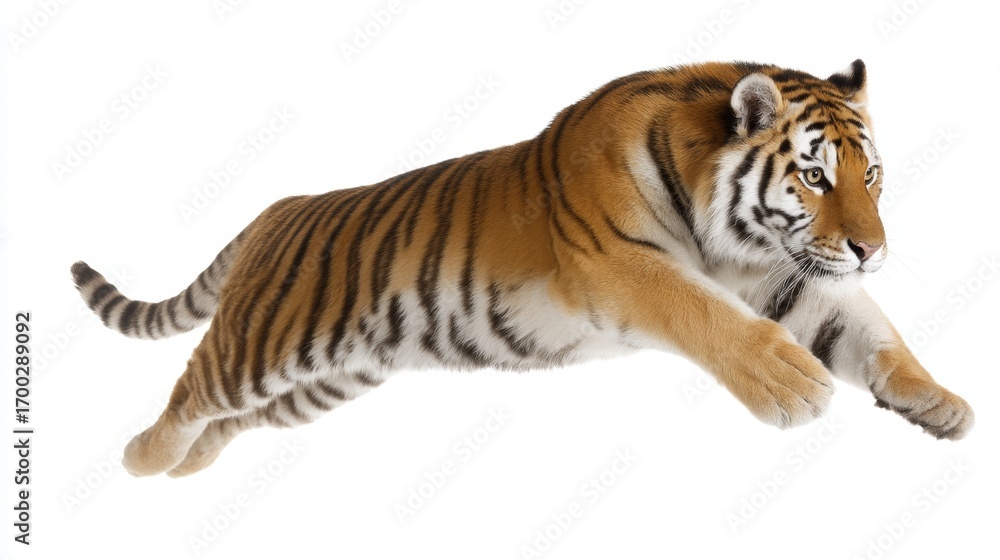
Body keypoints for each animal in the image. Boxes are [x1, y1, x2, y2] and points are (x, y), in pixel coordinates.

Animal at [71, 59, 974, 478]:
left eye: (872, 176)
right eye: (815, 177)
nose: (871, 250)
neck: (735, 241)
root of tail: (274, 209)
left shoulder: (786, 275)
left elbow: (871, 332)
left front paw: (940, 403)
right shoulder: (622, 266)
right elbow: (710, 316)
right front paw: (793, 387)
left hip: (331, 377)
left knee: (234, 420)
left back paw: (192, 464)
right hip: (265, 343)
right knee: (195, 387)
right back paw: (142, 460)